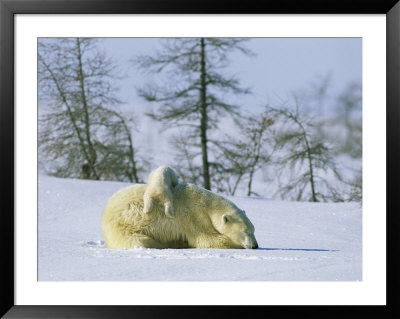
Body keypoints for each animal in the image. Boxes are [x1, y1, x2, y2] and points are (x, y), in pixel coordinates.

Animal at [102, 181, 260, 251]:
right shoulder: (192, 216)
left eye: (254, 230)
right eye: (245, 231)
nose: (255, 245)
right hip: (123, 227)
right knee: (141, 241)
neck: (206, 204)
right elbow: (207, 239)